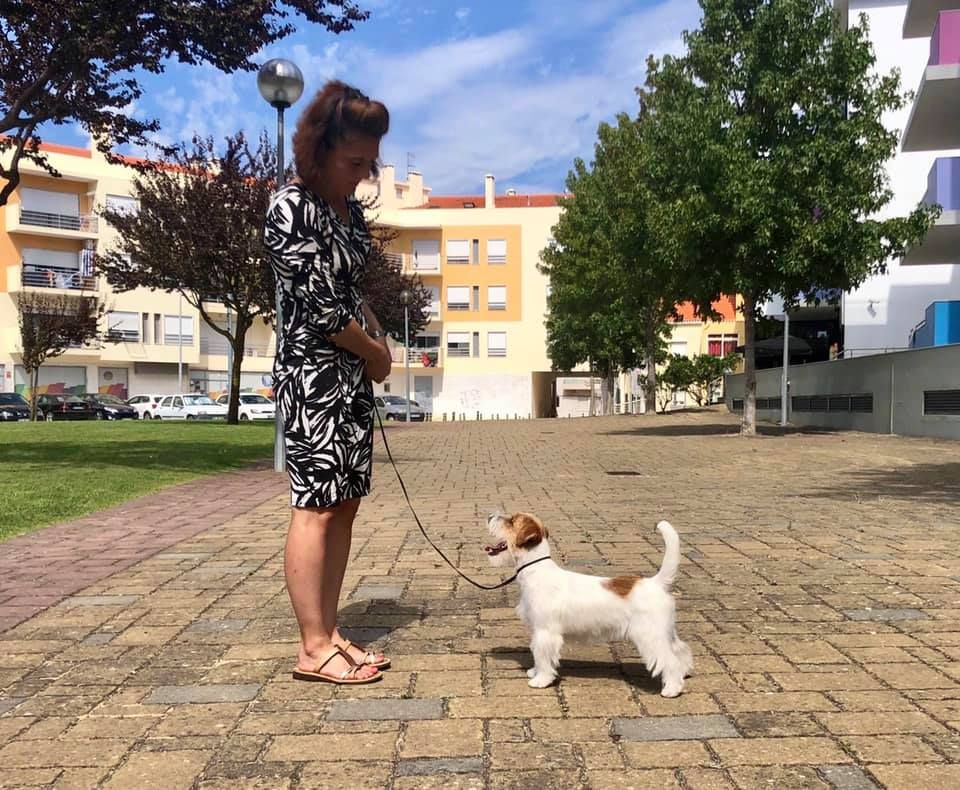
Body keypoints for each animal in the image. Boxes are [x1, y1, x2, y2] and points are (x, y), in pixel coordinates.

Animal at [485, 512, 693, 696]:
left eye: (512, 521)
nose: (489, 517)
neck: (536, 569)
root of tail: (656, 583)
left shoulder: (545, 632)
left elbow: (542, 656)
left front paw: (541, 679)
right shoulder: (538, 631)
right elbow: (536, 652)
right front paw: (534, 672)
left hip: (650, 637)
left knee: (670, 661)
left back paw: (672, 689)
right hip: (665, 633)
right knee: (681, 651)